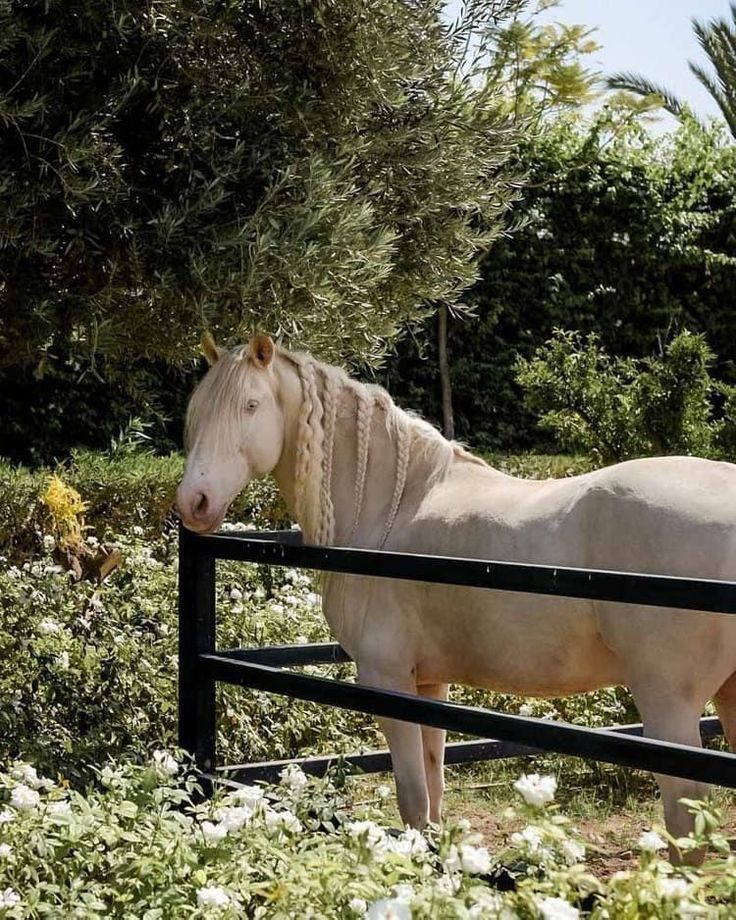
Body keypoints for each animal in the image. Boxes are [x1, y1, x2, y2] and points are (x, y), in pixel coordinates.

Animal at [177, 333, 736, 858]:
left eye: (250, 405)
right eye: (197, 408)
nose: (193, 503)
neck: (393, 507)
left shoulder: (387, 680)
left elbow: (412, 801)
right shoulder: (429, 685)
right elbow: (434, 792)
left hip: (668, 706)